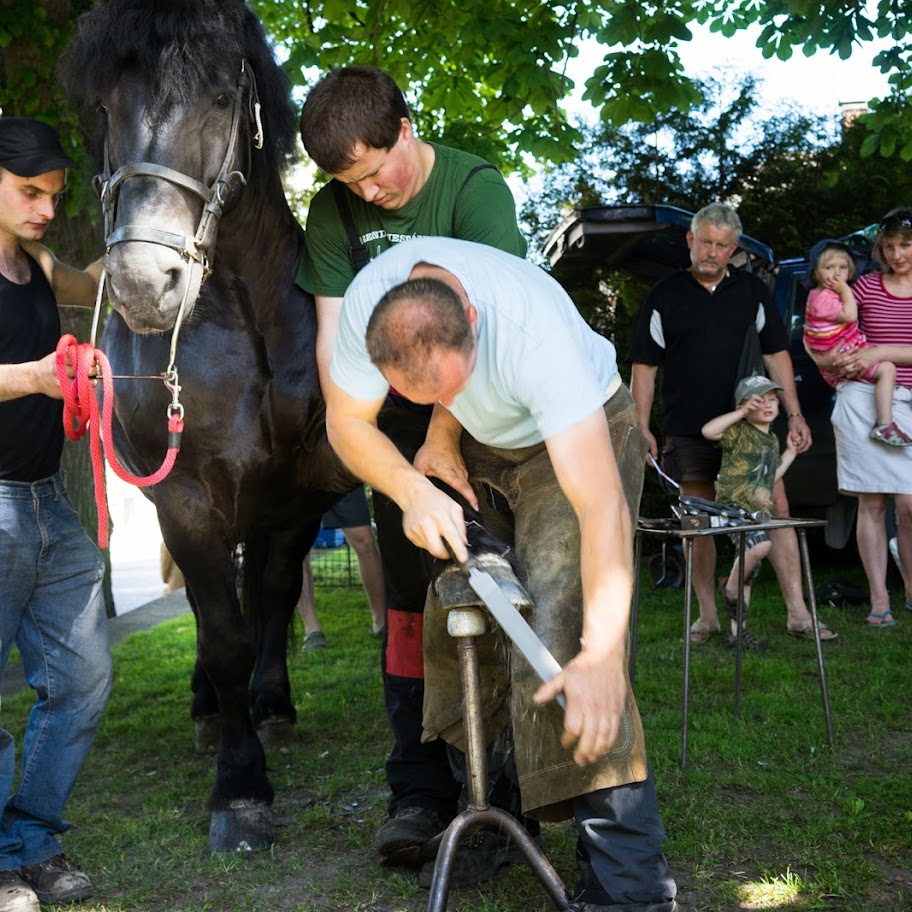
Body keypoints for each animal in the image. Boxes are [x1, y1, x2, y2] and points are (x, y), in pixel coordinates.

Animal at [60, 1, 356, 856]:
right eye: (105, 107)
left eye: (225, 99)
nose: (142, 285)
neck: (246, 316)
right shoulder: (187, 497)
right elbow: (220, 629)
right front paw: (241, 787)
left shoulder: (299, 495)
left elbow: (274, 597)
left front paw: (272, 706)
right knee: (206, 606)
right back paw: (207, 710)